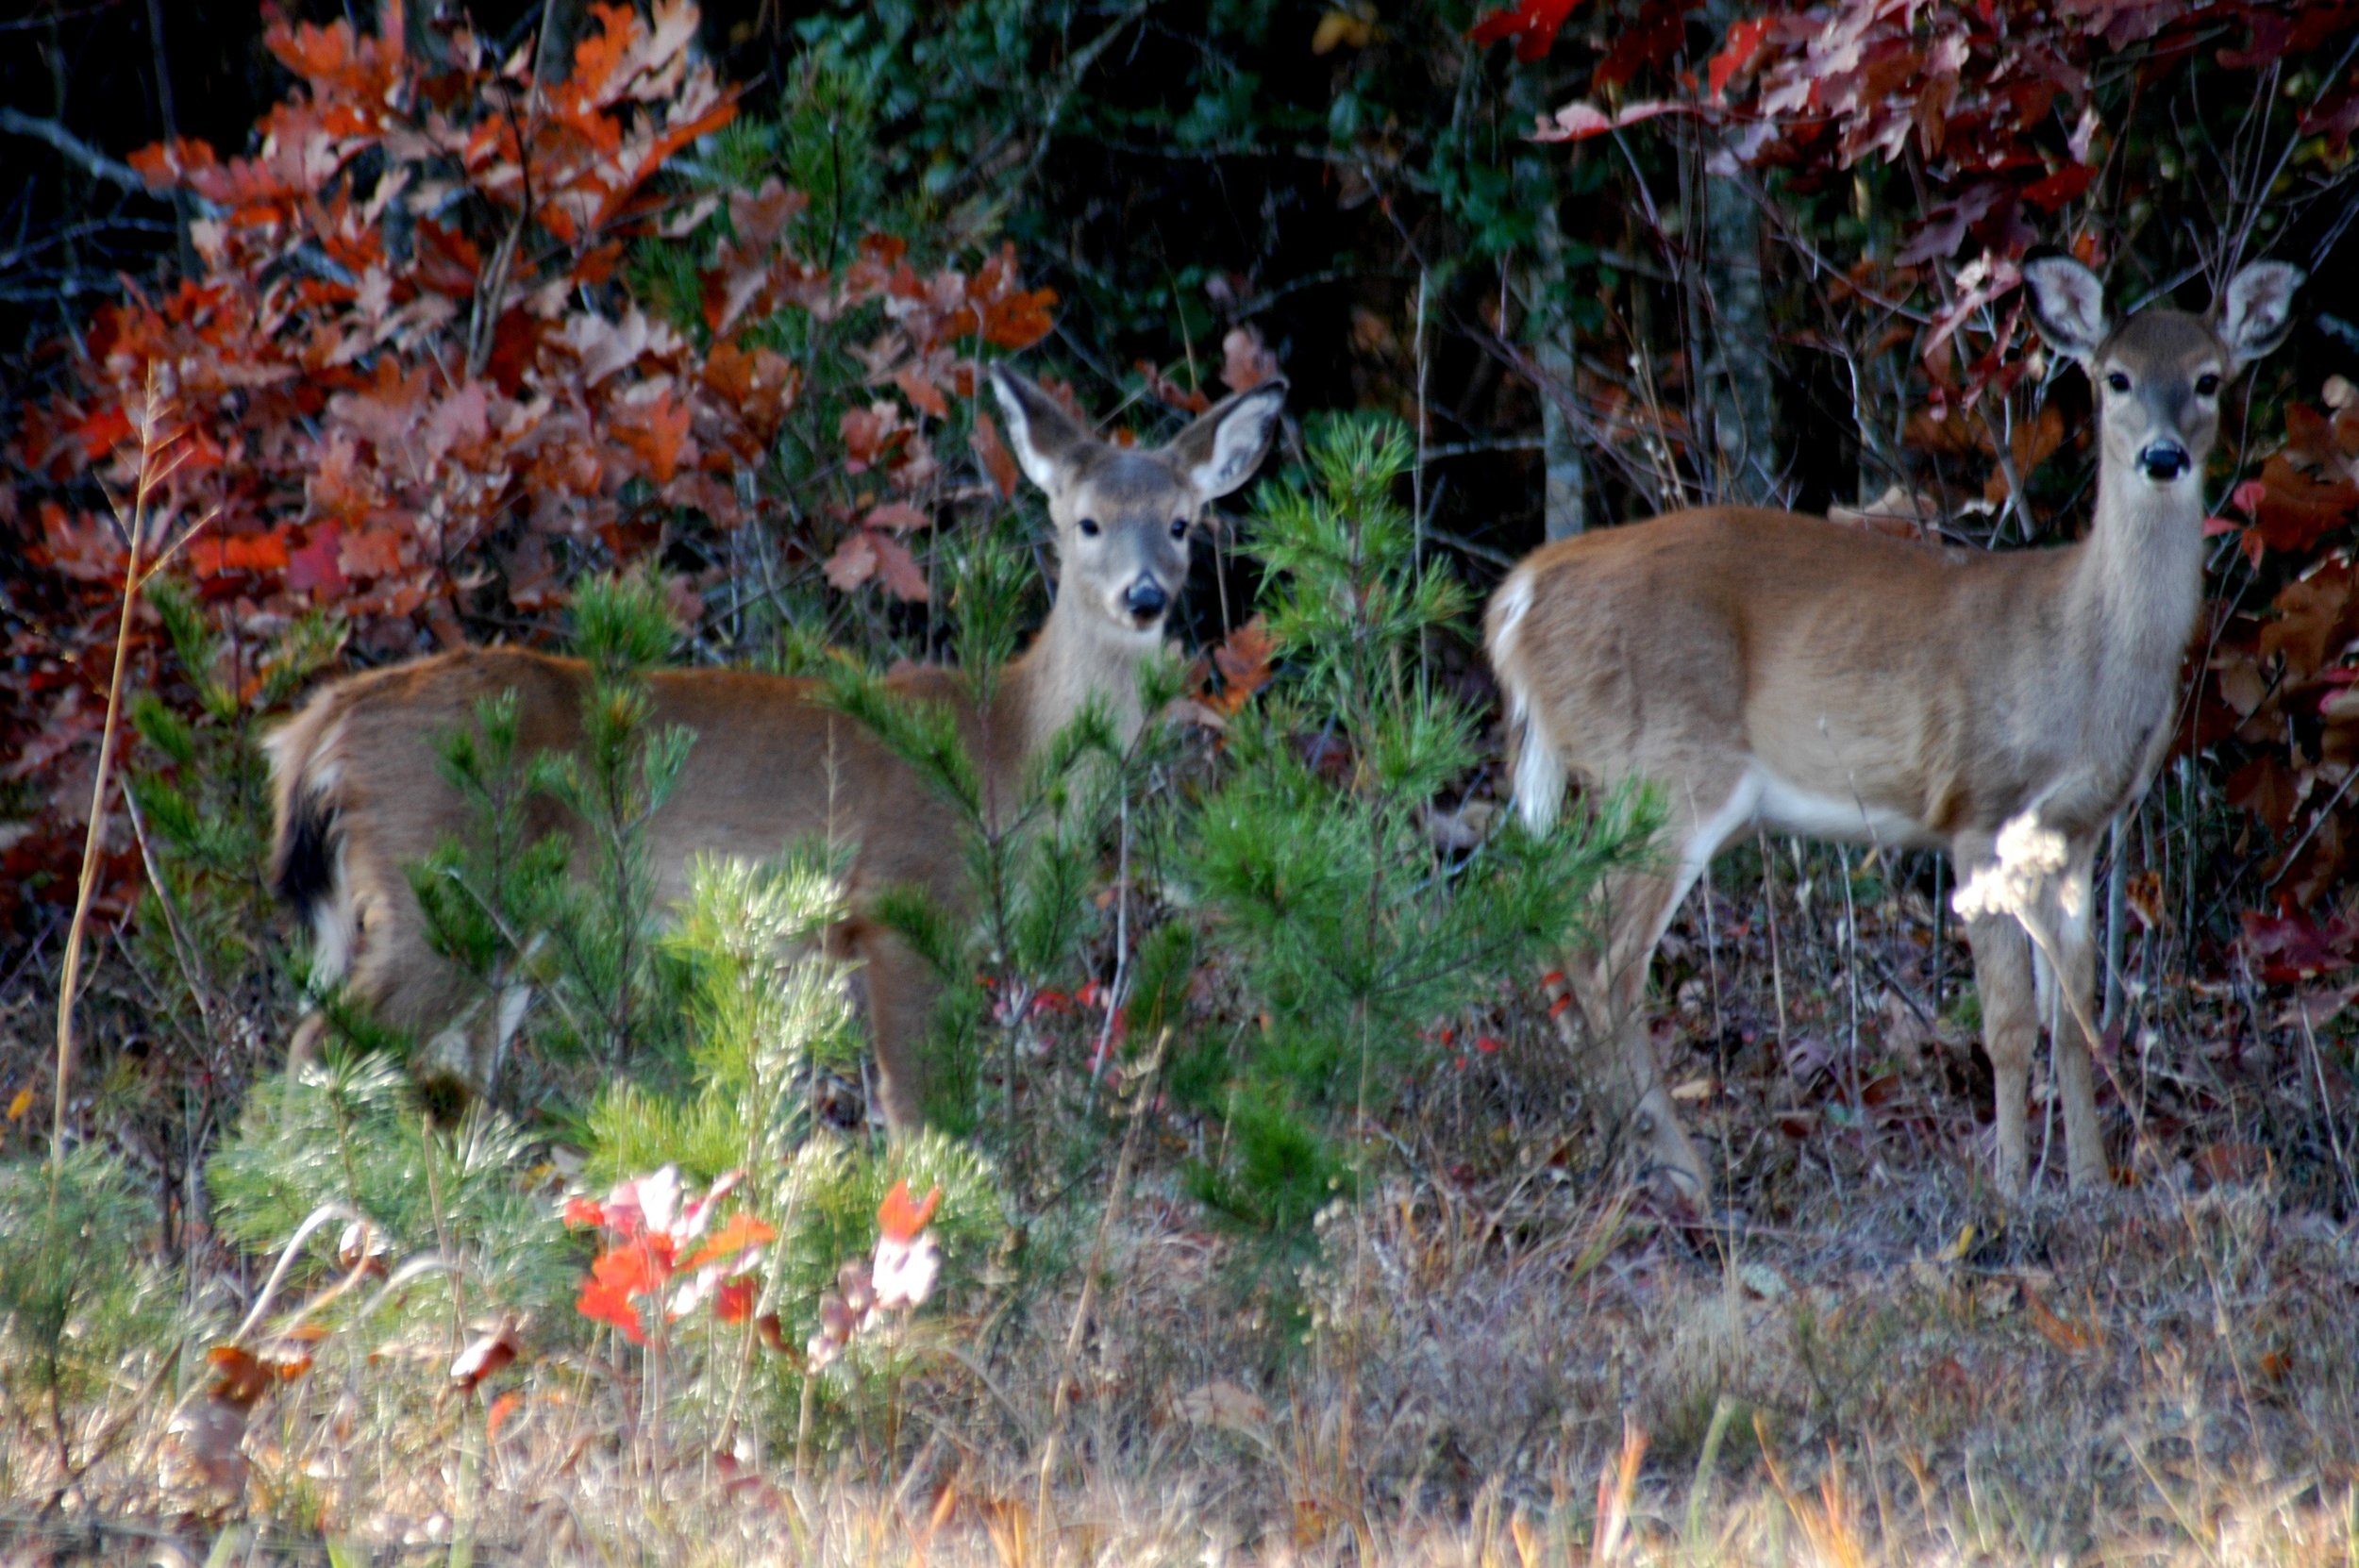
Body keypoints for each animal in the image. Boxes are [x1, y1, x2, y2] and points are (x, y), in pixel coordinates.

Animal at [270, 362, 1293, 1126]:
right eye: (1086, 522)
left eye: (1181, 524)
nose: (1144, 597)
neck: (1006, 749)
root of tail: (321, 729)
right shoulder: (898, 901)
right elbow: (918, 1115)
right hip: (438, 885)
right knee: (321, 1049)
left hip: (497, 923)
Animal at [1491, 253, 2302, 1197]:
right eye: (2116, 378)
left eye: (2209, 378)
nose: (2163, 456)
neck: (2080, 654)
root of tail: (1520, 596)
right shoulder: (1979, 810)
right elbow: (2007, 1024)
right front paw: (2010, 1187)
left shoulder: (2077, 835)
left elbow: (2073, 1019)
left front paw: (2092, 1185)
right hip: (1665, 769)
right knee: (1602, 957)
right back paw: (1682, 1171)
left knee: (1556, 938)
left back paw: (1624, 1153)